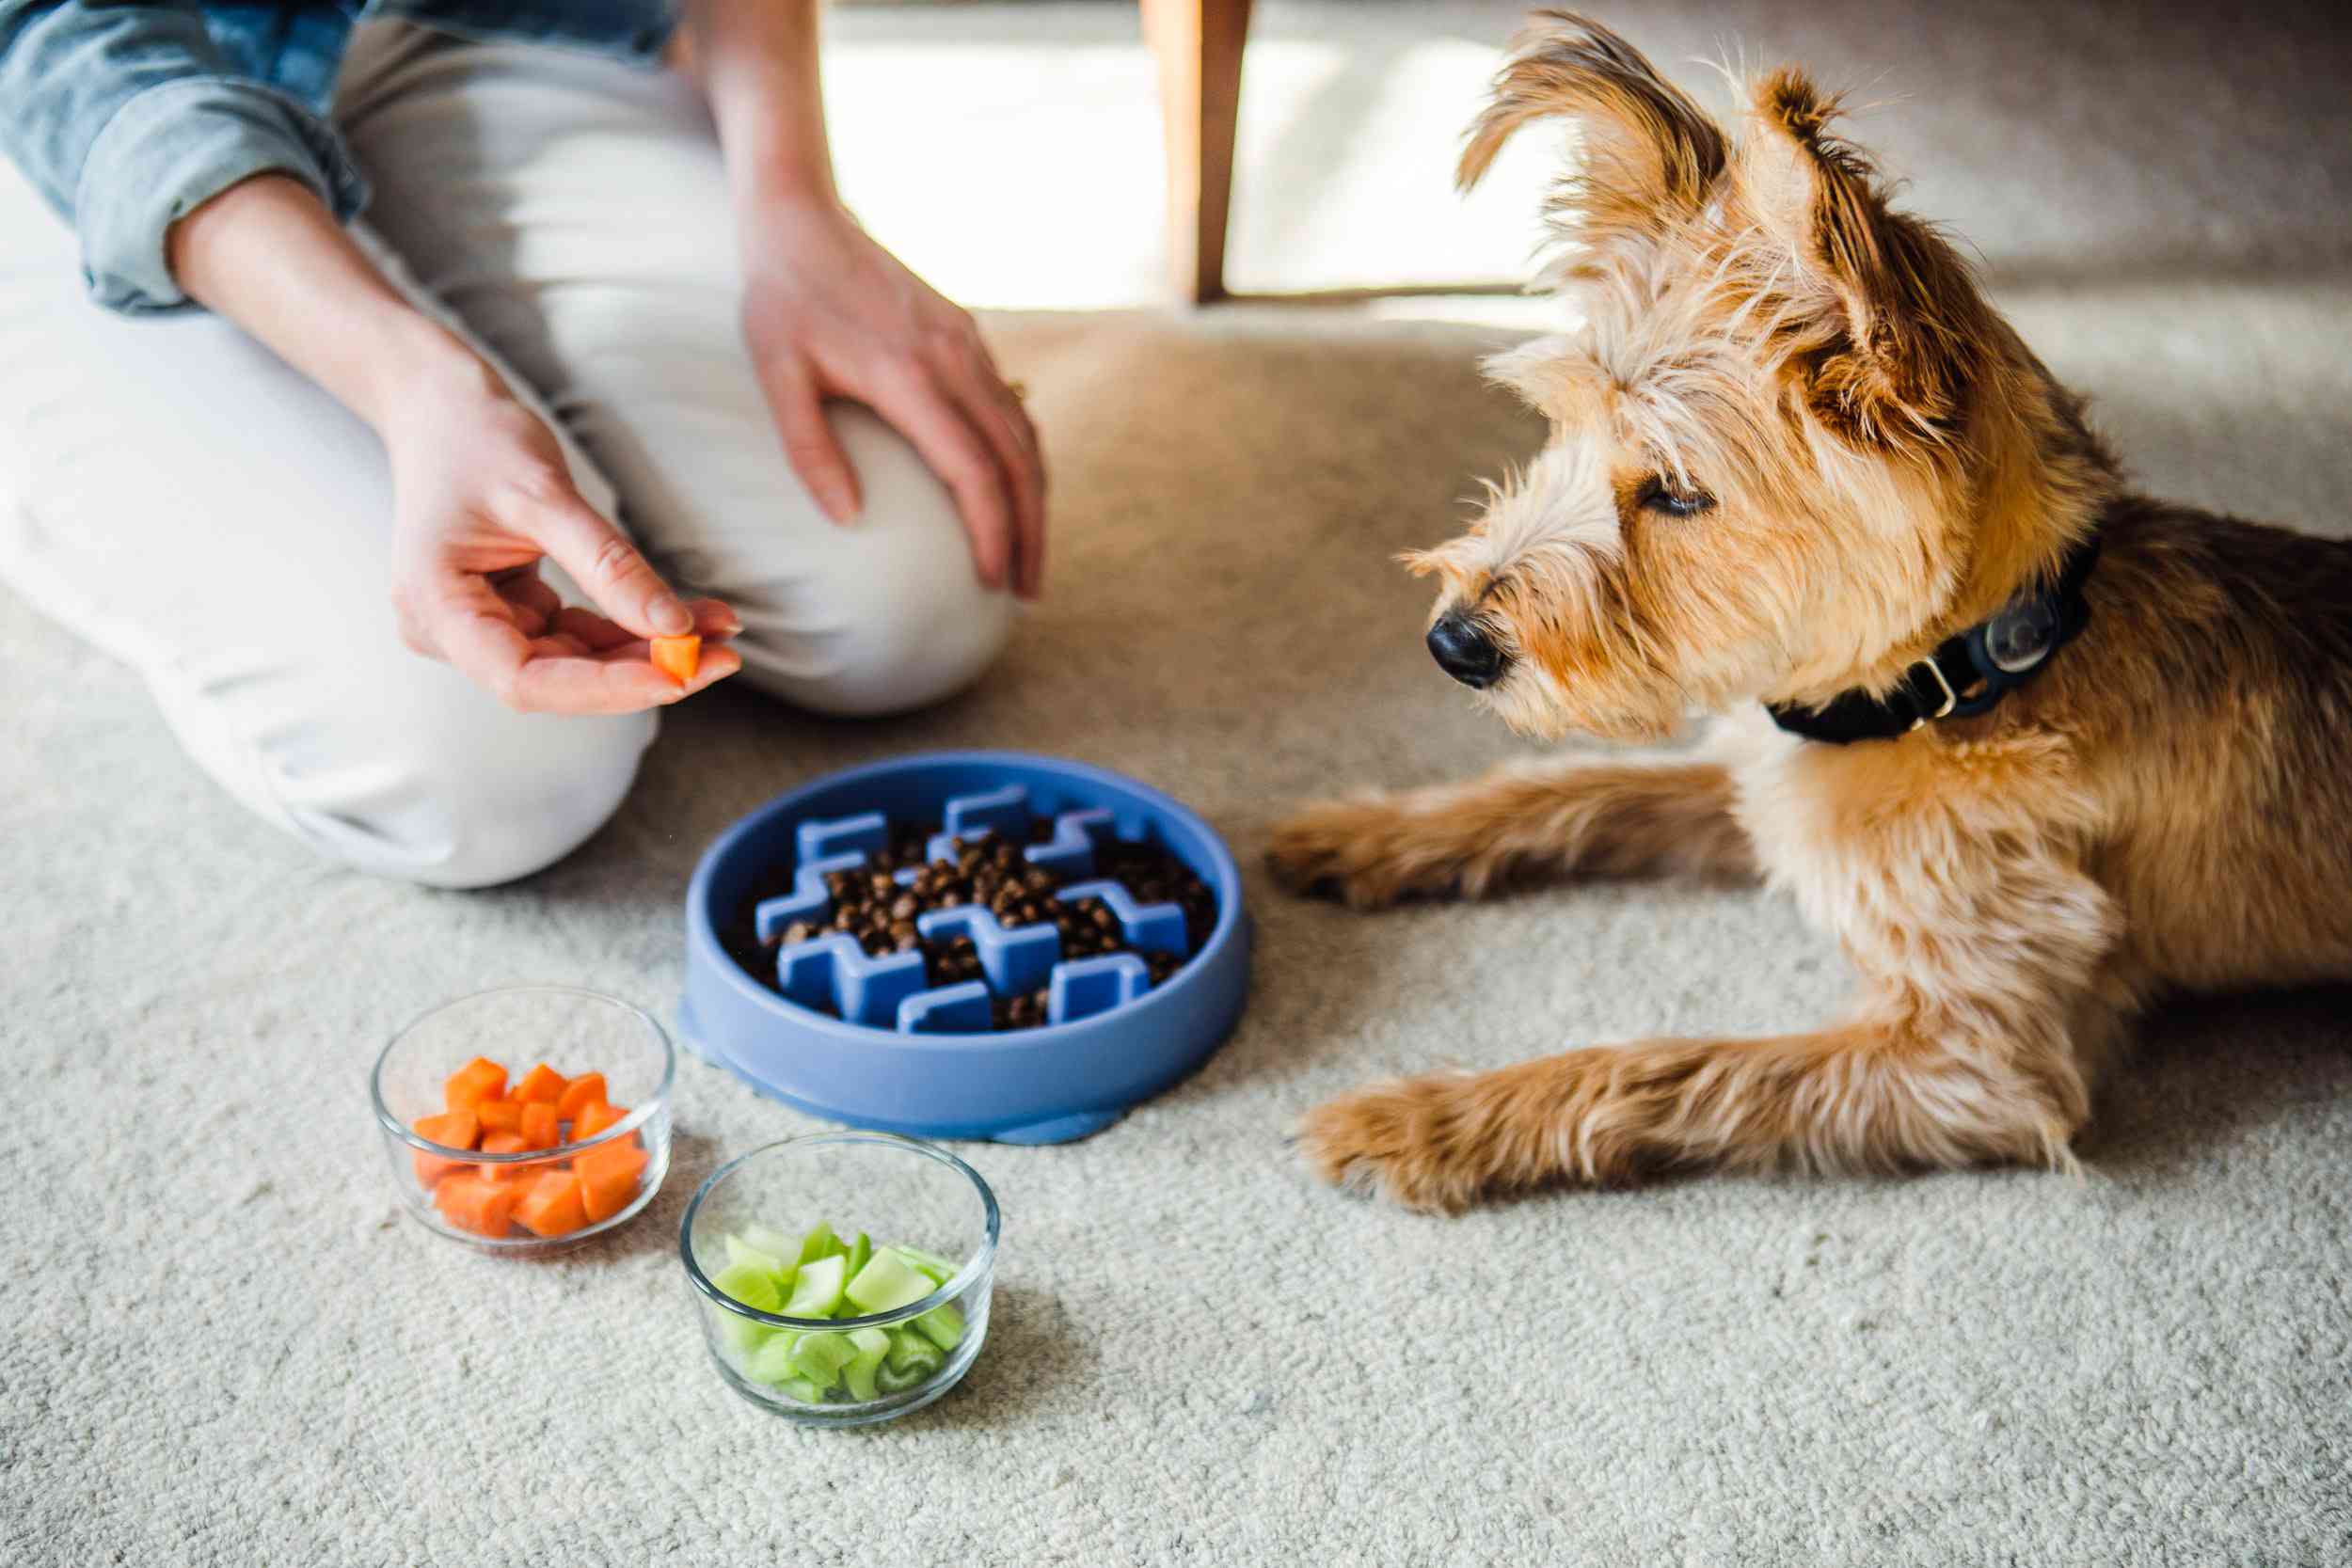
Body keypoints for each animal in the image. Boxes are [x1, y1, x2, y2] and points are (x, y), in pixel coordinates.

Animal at [1270, 8, 2352, 1212]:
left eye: (1678, 491)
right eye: (1561, 427)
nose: (1451, 643)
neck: (1964, 682)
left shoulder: (1973, 1061)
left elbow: (1671, 1066)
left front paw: (1430, 1117)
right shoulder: (1758, 779)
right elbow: (1576, 786)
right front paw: (1378, 829)